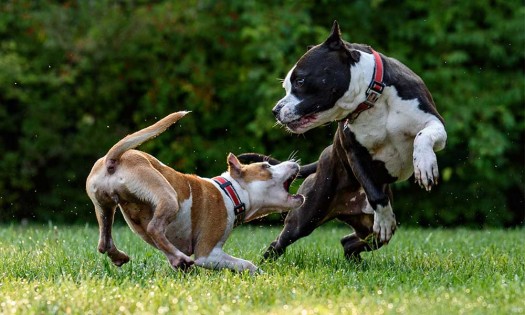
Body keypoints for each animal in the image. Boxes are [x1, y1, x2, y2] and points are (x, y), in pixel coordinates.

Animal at [86, 112, 302, 276]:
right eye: (266, 166)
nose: (295, 163)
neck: (231, 192)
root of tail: (113, 160)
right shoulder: (208, 254)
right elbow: (245, 263)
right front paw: (261, 275)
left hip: (105, 206)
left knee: (104, 242)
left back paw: (125, 257)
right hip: (167, 196)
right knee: (154, 228)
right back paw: (180, 258)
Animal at [239, 21, 444, 260]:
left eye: (300, 80)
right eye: (286, 86)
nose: (275, 110)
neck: (372, 98)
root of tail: (324, 156)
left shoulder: (434, 122)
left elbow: (423, 136)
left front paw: (425, 165)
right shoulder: (354, 152)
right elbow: (375, 194)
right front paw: (384, 218)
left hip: (366, 229)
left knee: (350, 241)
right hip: (306, 215)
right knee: (280, 242)